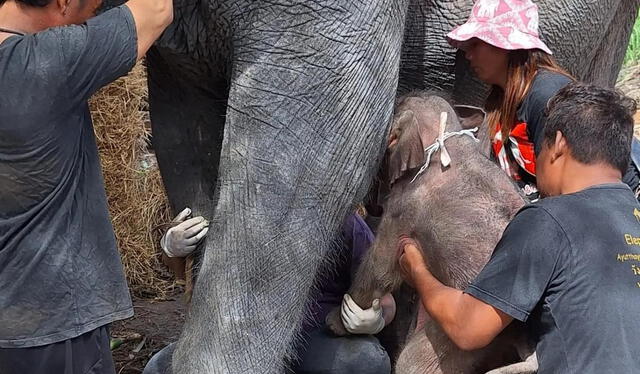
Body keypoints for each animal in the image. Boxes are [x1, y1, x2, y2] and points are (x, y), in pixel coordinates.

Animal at [144, 0, 640, 372]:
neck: (445, 142)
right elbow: (181, 134)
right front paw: (186, 234)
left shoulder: (403, 211)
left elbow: (318, 151)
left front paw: (343, 319)